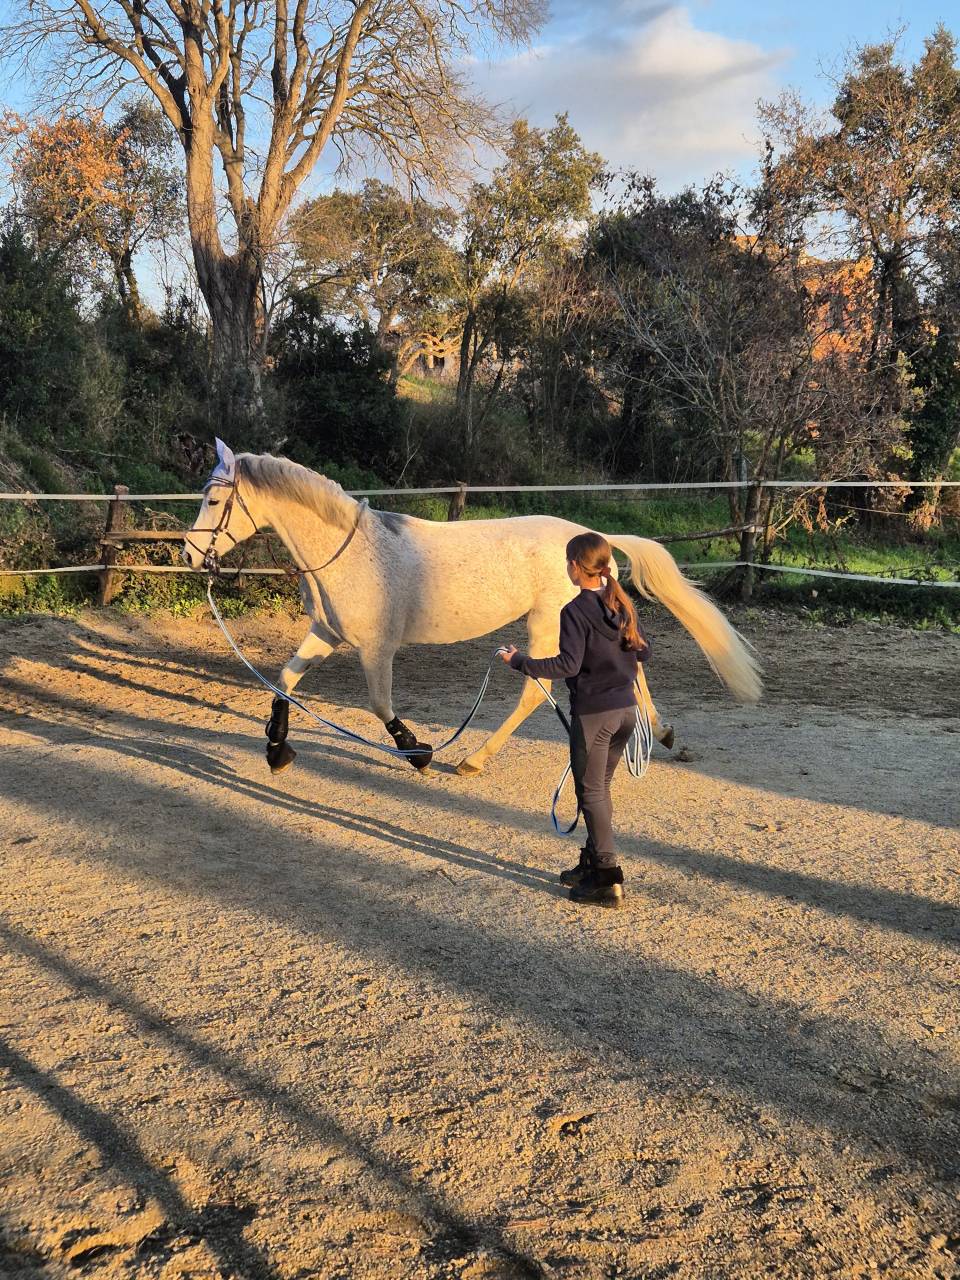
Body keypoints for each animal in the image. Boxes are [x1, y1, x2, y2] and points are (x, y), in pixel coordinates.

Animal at [182, 445, 762, 776]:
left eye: (214, 500)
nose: (189, 555)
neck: (354, 552)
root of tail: (591, 537)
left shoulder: (376, 648)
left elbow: (380, 704)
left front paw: (419, 752)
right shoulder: (326, 633)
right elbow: (284, 680)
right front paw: (277, 749)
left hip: (549, 626)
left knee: (536, 692)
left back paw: (473, 760)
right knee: (633, 672)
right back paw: (663, 733)